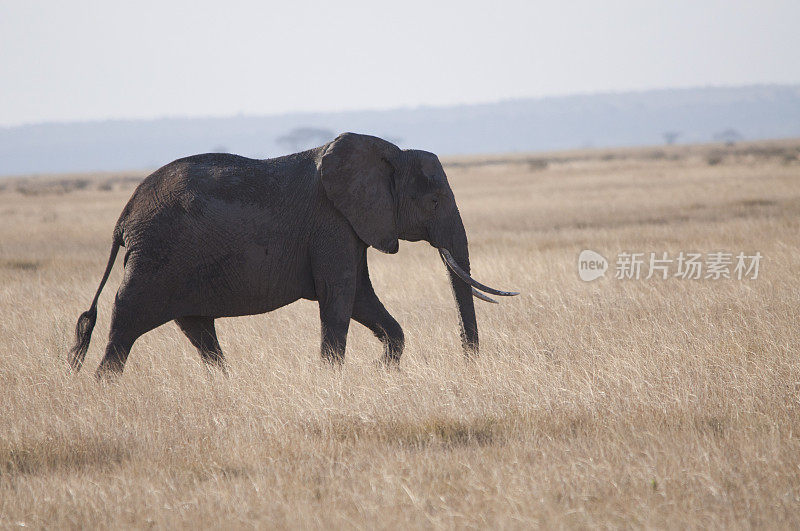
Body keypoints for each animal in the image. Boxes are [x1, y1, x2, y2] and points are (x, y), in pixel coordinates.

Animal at [69, 132, 520, 378]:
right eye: (434, 201)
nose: (469, 362)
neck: (389, 152)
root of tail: (125, 215)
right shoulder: (332, 223)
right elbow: (339, 297)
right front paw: (333, 379)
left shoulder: (350, 225)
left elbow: (360, 298)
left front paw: (380, 370)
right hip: (158, 255)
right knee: (127, 319)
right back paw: (102, 387)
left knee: (197, 329)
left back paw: (226, 385)